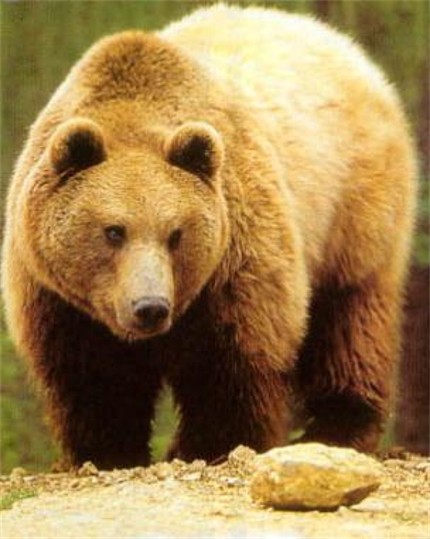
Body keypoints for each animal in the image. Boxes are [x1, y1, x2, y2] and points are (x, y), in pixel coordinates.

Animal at [0, 4, 416, 470]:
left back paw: (338, 426)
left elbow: (232, 362)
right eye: (113, 231)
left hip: (353, 210)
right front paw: (109, 450)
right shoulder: (58, 294)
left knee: (350, 317)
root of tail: (339, 43)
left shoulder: (235, 258)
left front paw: (207, 445)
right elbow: (92, 376)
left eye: (175, 233)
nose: (150, 307)